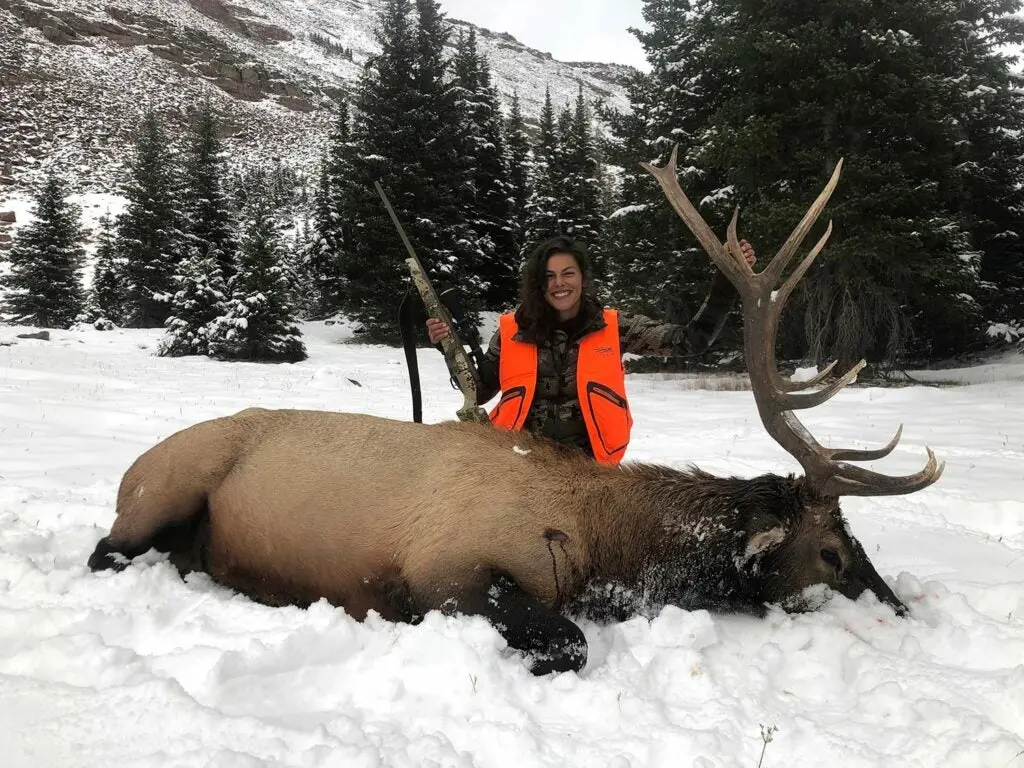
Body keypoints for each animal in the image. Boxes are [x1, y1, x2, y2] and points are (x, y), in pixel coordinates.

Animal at [88, 151, 942, 679]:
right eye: (832, 550)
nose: (903, 609)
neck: (606, 545)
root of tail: (130, 468)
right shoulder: (446, 565)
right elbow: (567, 644)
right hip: (164, 491)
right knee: (107, 551)